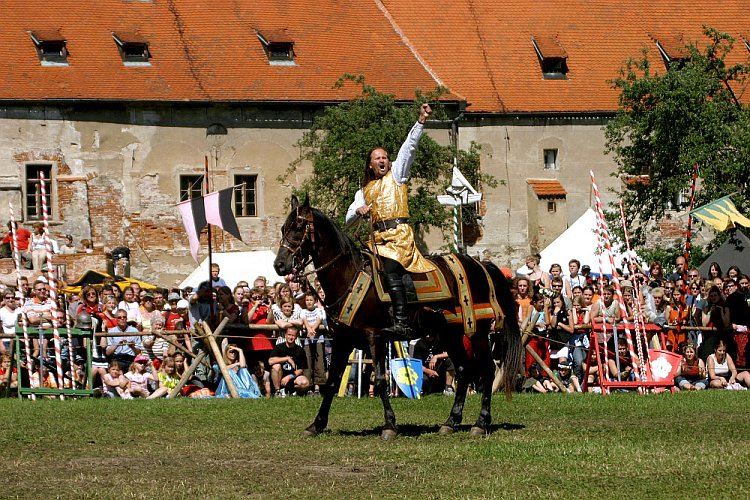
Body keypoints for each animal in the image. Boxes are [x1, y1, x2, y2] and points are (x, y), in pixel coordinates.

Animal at [274, 195, 524, 438]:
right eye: (283, 228)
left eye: (299, 227)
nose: (280, 265)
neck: (349, 275)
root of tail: (480, 265)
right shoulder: (342, 340)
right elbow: (332, 380)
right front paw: (316, 425)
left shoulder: (374, 337)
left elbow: (380, 380)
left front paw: (389, 425)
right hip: (451, 335)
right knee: (463, 371)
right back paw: (451, 422)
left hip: (477, 332)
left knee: (487, 371)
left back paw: (481, 423)